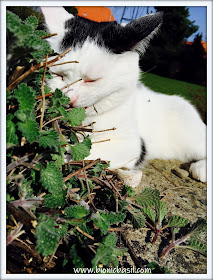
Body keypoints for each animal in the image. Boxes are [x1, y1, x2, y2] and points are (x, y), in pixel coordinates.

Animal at [41, 7, 206, 186]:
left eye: (92, 80)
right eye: (58, 75)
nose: (70, 99)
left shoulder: (133, 145)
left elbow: (87, 153)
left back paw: (201, 169)